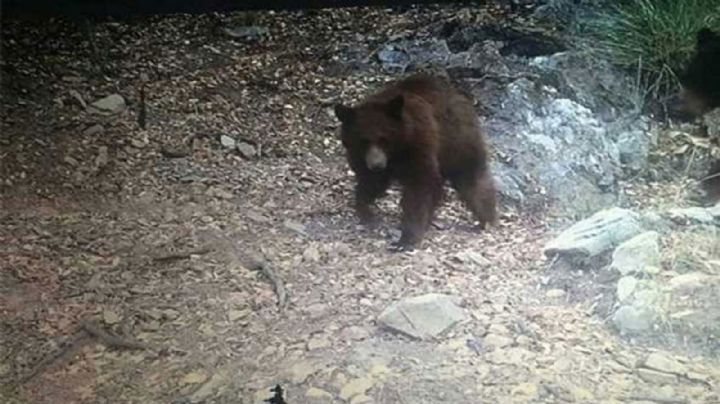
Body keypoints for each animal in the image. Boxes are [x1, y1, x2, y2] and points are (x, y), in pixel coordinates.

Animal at [334, 73, 497, 251]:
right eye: (363, 141)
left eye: (384, 139)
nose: (376, 164)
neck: (397, 150)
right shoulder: (362, 158)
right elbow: (370, 182)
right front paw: (365, 210)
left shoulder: (418, 145)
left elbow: (420, 185)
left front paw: (407, 237)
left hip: (457, 140)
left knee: (471, 176)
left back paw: (487, 217)